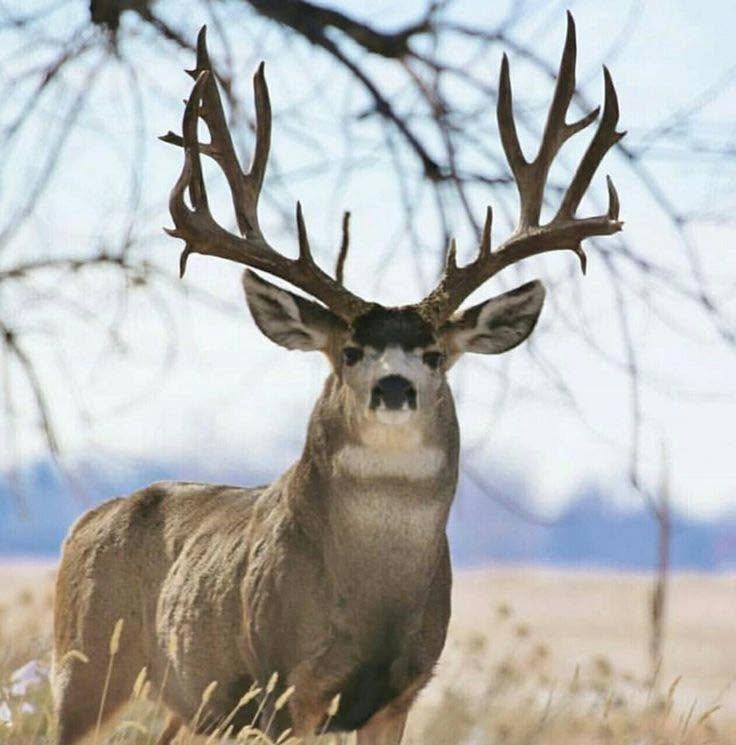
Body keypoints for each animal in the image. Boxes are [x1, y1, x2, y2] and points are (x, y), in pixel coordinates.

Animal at [52, 13, 623, 745]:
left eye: (434, 354)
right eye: (351, 351)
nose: (394, 387)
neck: (374, 595)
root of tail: (87, 520)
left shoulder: (400, 693)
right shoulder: (287, 681)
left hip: (187, 701)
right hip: (87, 662)